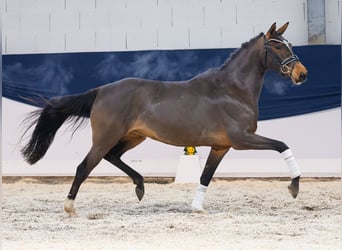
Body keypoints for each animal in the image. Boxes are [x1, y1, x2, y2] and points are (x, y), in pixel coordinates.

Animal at [22, 22, 308, 216]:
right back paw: (70, 207)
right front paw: (294, 187)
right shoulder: (242, 139)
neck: (232, 89)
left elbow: (205, 176)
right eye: (278, 46)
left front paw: (197, 208)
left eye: (290, 45)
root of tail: (101, 90)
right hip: (106, 137)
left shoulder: (221, 146)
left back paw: (140, 187)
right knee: (84, 166)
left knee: (112, 157)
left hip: (133, 137)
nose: (302, 74)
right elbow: (282, 145)